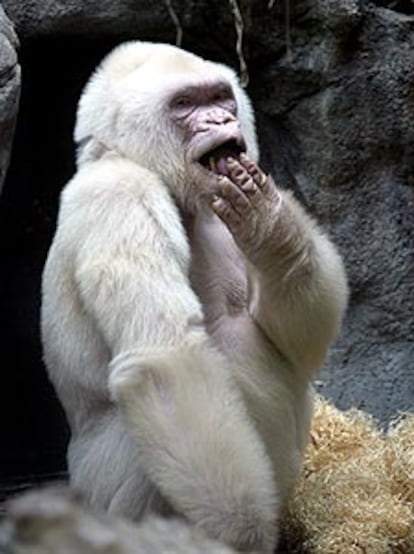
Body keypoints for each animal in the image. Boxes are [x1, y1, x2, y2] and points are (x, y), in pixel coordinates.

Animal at [40, 42, 348, 552]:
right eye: (184, 104)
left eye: (220, 97)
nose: (221, 120)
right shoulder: (119, 192)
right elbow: (166, 356)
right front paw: (242, 535)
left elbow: (299, 340)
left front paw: (272, 229)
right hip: (102, 496)